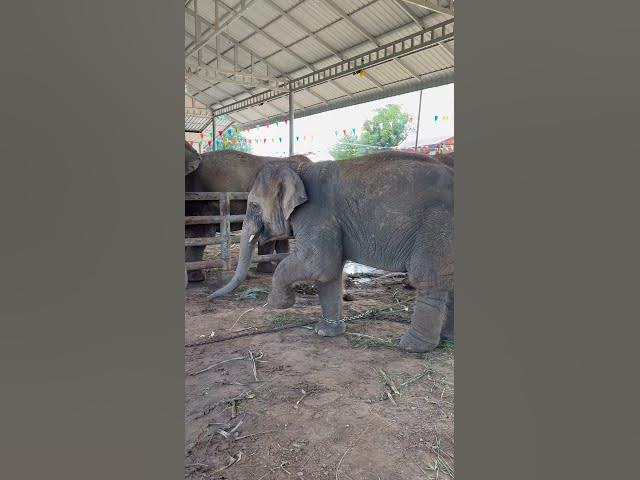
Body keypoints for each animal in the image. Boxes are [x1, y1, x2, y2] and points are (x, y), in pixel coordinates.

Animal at [207, 151, 454, 353]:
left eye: (254, 206)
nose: (209, 298)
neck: (297, 168)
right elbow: (329, 274)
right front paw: (326, 332)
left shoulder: (315, 213)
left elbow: (319, 264)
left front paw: (279, 304)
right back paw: (448, 338)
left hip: (437, 225)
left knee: (428, 280)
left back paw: (412, 346)